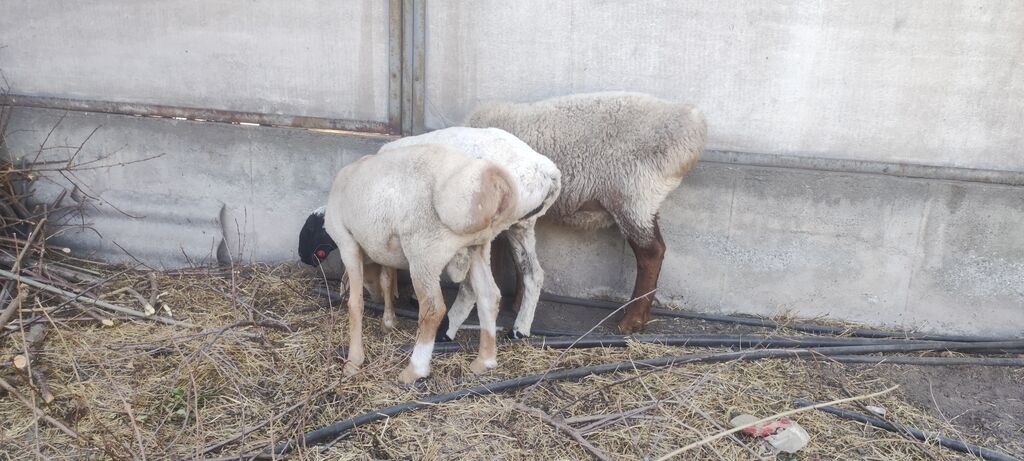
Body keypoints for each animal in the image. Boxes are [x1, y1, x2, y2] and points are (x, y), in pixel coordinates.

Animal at [298, 143, 519, 383]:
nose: (302, 257)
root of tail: (489, 180)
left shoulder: (347, 242)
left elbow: (355, 303)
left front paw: (353, 362)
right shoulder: (385, 249)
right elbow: (387, 281)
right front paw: (388, 321)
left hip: (424, 250)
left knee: (433, 308)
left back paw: (415, 369)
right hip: (479, 246)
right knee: (489, 296)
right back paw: (484, 361)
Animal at [379, 127, 561, 341]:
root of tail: (547, 173)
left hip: (483, 227)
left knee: (474, 287)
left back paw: (446, 331)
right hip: (521, 225)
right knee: (534, 274)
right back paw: (519, 330)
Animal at [466, 92, 707, 333]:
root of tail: (693, 124)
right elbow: (516, 260)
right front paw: (517, 303)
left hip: (634, 195)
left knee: (651, 253)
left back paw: (632, 320)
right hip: (646, 202)